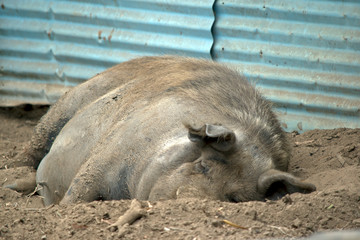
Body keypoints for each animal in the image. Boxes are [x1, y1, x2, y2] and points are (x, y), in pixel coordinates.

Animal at [11, 55, 316, 205]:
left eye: (235, 198)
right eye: (202, 165)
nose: (189, 204)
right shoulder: (111, 151)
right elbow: (77, 193)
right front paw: (61, 211)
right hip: (74, 98)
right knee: (35, 145)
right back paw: (12, 182)